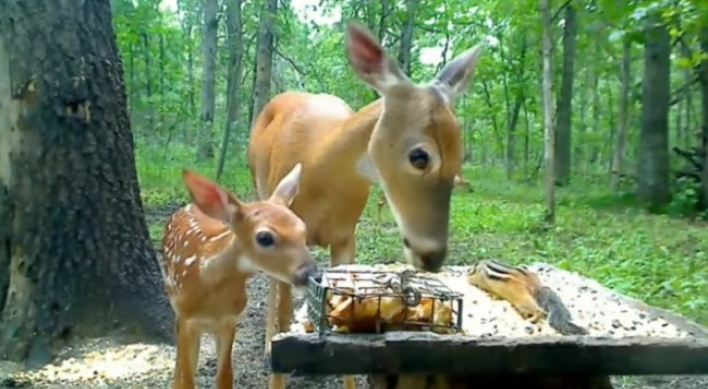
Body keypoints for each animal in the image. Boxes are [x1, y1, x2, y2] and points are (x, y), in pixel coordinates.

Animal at [160, 164, 318, 388]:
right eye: (264, 237)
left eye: (303, 229)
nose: (310, 273)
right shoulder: (186, 318)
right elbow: (187, 380)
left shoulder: (230, 320)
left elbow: (225, 378)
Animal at [246, 20, 484, 388]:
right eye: (419, 156)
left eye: (461, 157)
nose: (432, 256)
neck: (317, 170)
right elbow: (283, 316)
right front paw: (275, 356)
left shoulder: (347, 236)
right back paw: (268, 345)